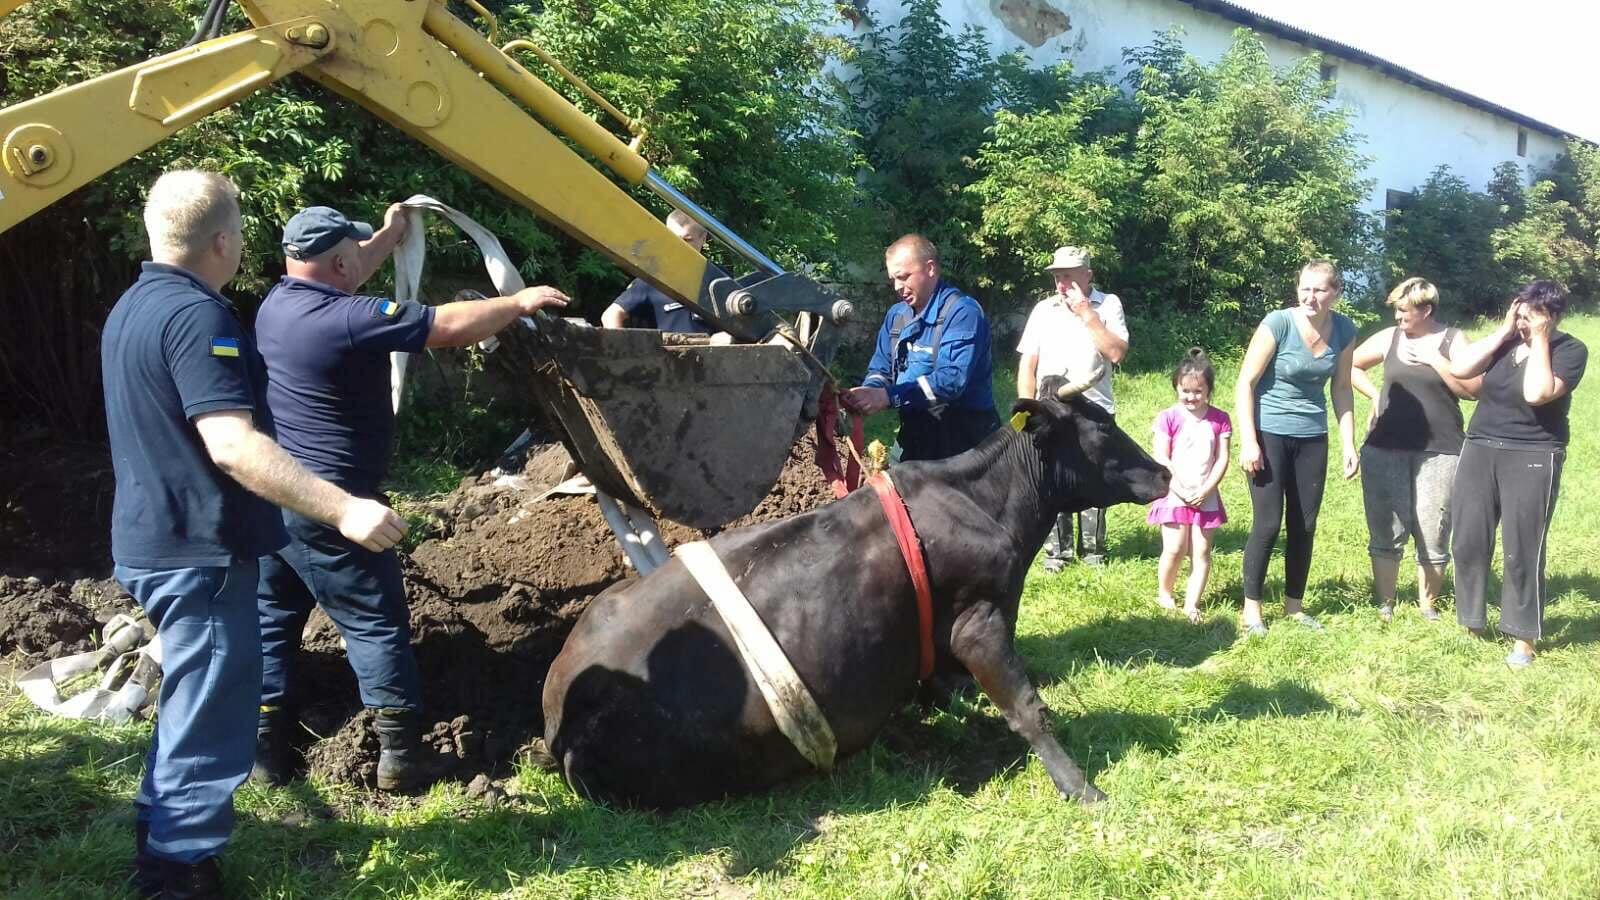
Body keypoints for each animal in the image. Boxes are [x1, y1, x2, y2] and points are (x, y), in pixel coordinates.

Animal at [544, 379, 1171, 807]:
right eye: (1102, 428)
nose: (1164, 472)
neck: (985, 502)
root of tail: (560, 714)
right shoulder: (981, 619)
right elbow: (1027, 707)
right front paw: (1081, 788)